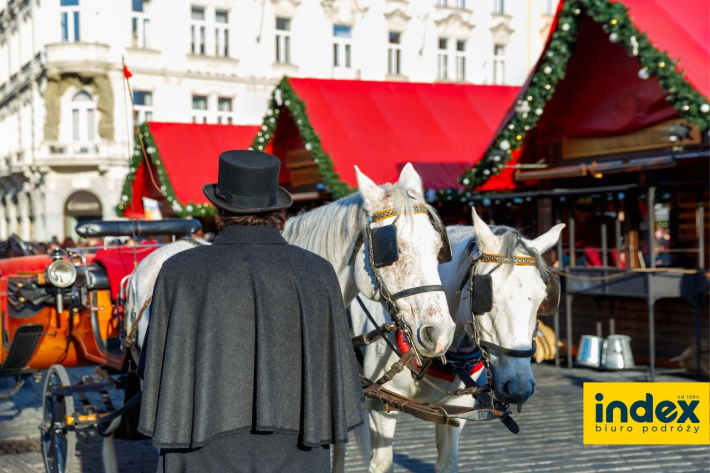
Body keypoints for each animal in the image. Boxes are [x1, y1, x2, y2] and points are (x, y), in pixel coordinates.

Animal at [350, 208, 568, 470]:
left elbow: (447, 463)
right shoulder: (381, 409)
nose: (518, 387)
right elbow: (381, 463)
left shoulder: (457, 411)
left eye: (543, 299)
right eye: (486, 295)